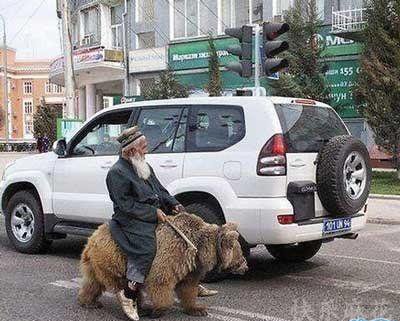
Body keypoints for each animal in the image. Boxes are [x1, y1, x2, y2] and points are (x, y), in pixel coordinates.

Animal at [77, 211, 248, 316]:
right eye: (240, 252)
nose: (246, 266)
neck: (198, 248)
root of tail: (91, 238)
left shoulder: (190, 267)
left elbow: (188, 287)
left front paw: (198, 309)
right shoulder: (173, 254)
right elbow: (161, 281)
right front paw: (159, 309)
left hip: (96, 262)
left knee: (93, 282)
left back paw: (89, 301)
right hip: (116, 258)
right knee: (120, 282)